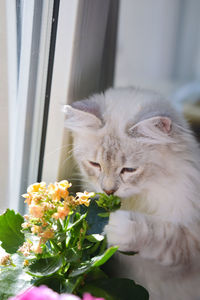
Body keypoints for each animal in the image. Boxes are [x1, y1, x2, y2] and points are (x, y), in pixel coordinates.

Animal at [63, 87, 200, 300]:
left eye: (129, 170)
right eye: (95, 164)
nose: (108, 190)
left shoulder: (191, 240)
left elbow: (161, 234)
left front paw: (115, 224)